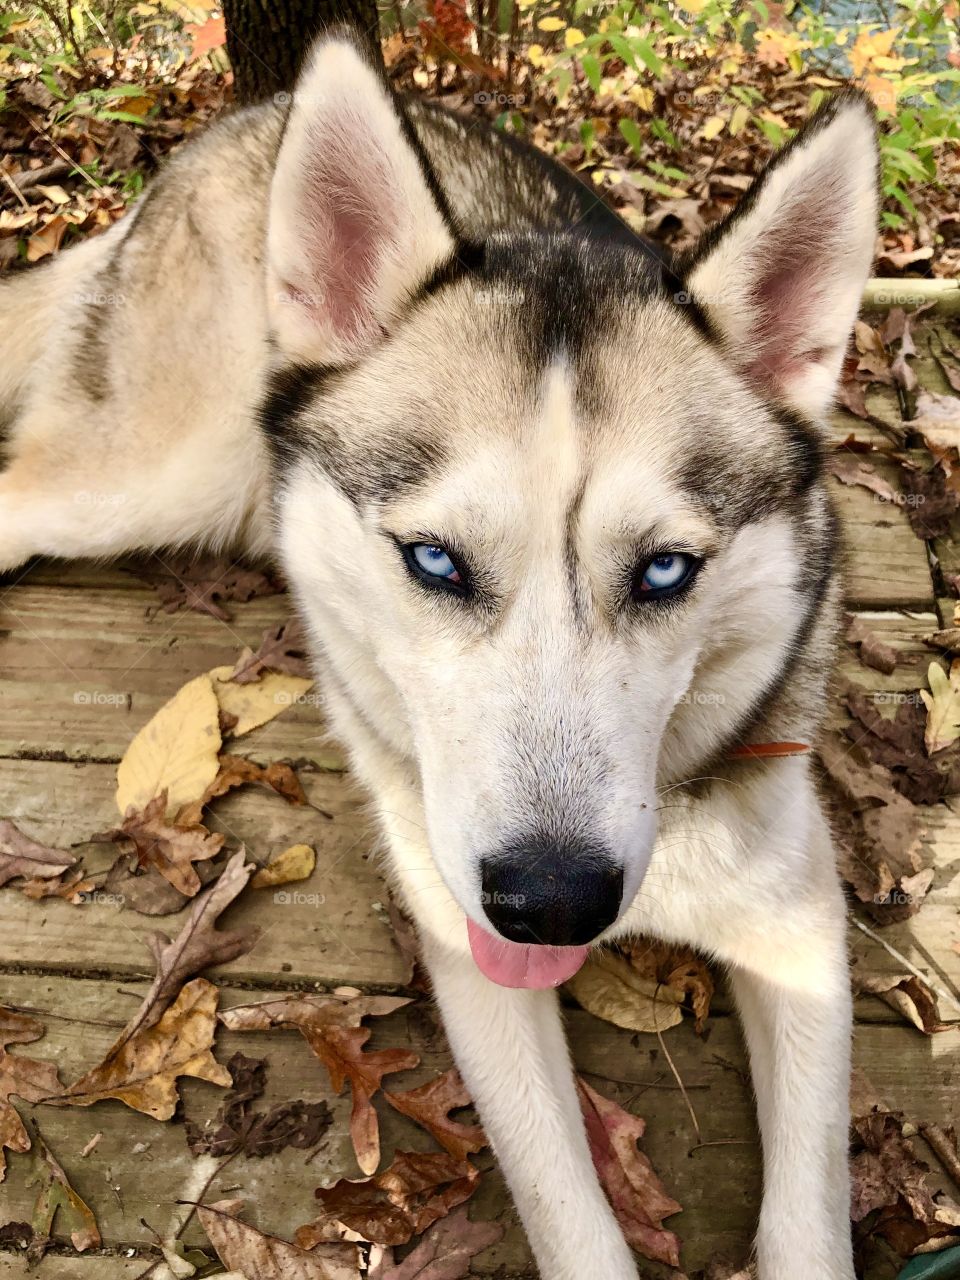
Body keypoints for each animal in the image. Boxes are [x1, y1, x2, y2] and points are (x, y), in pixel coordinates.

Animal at [1, 32, 885, 1280]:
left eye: (666, 571)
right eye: (434, 559)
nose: (553, 901)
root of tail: (248, 118)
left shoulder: (801, 928)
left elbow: (808, 1216)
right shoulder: (476, 962)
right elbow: (572, 1215)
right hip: (156, 475)